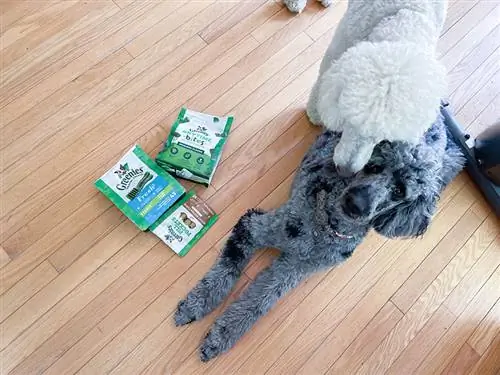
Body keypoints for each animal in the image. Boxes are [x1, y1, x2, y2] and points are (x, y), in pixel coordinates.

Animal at [174, 116, 462, 362]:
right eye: (374, 165)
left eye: (400, 191)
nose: (356, 203)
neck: (326, 226)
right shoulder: (254, 227)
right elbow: (224, 272)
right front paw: (197, 305)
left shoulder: (294, 270)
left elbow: (257, 302)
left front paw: (220, 336)